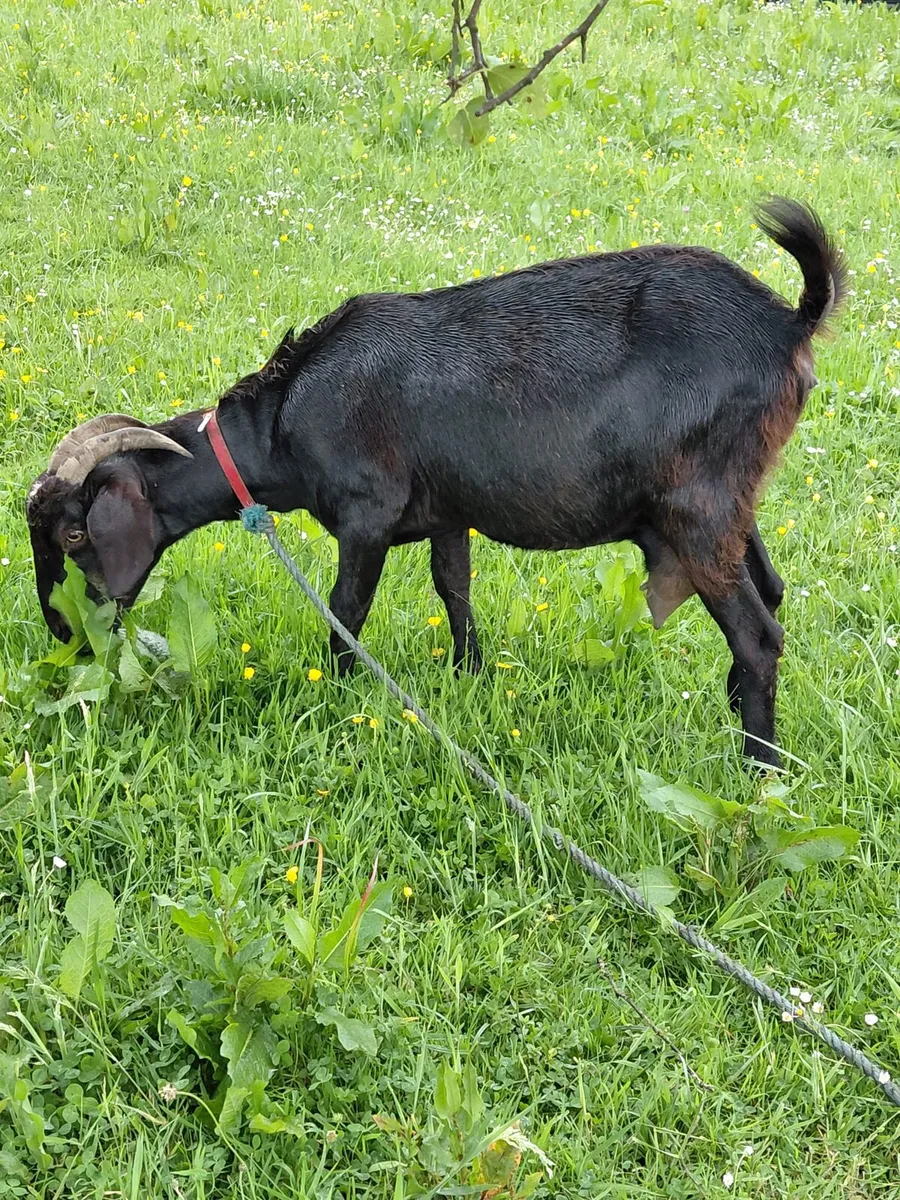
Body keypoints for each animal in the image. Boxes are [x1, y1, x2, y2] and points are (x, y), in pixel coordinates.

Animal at [26, 198, 844, 768]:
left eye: (76, 530)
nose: (63, 637)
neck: (284, 419)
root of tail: (788, 327)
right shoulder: (449, 510)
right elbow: (454, 588)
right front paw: (468, 677)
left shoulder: (367, 513)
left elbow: (345, 612)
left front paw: (341, 700)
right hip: (730, 503)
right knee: (772, 596)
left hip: (697, 511)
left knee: (759, 636)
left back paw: (760, 772)